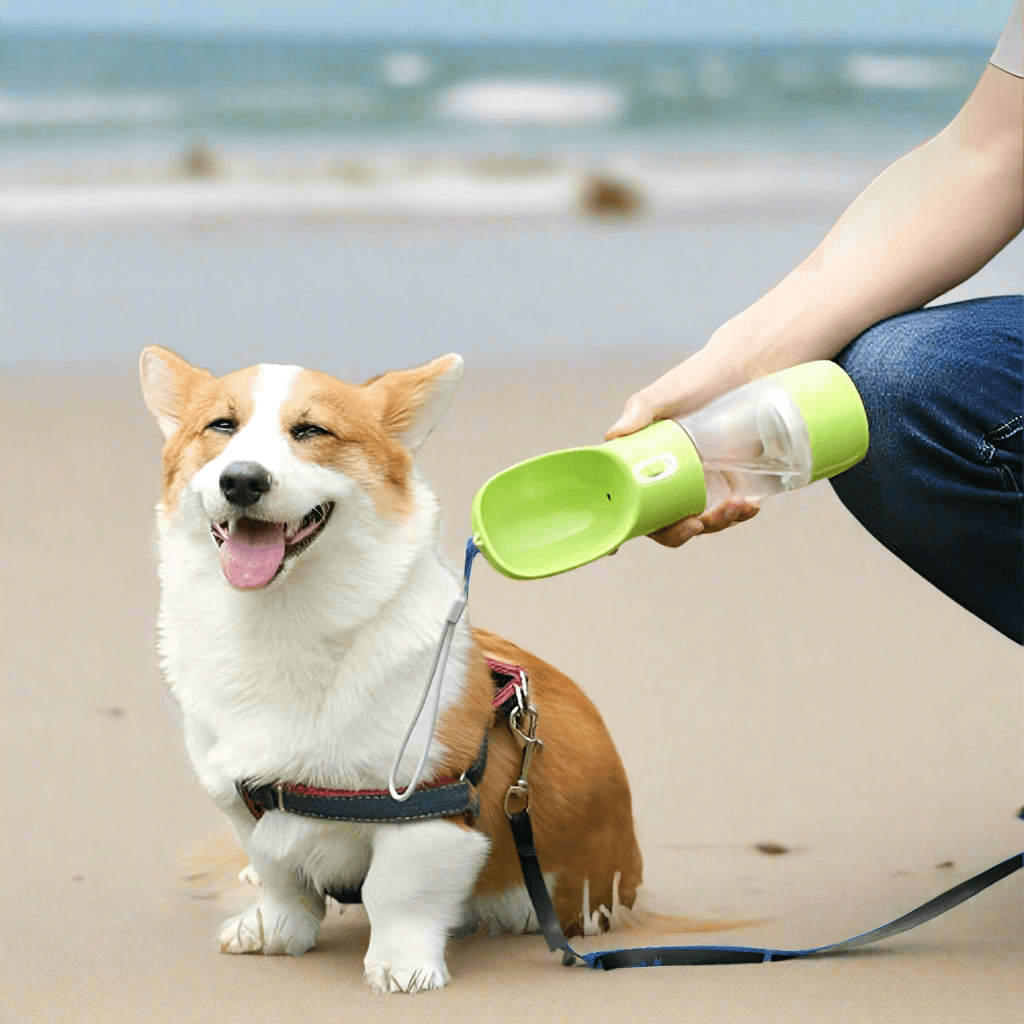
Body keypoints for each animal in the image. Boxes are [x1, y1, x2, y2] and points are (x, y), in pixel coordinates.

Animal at [140, 344, 643, 991]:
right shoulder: (243, 804)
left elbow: (397, 892)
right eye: (221, 426)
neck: (281, 625)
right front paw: (274, 931)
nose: (243, 479)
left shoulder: (427, 806)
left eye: (311, 431)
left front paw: (403, 968)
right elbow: (280, 878)